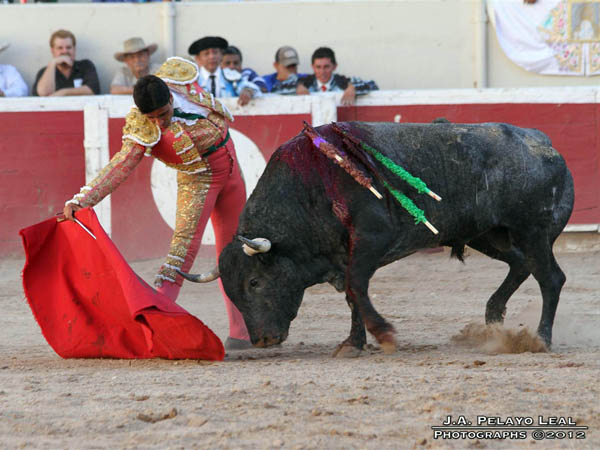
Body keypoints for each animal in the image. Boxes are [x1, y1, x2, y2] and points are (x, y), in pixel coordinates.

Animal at [182, 122, 572, 356]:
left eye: (255, 281)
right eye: (232, 291)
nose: (262, 340)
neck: (308, 190)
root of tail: (542, 142)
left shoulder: (372, 240)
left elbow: (357, 287)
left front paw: (383, 334)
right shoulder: (344, 254)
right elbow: (352, 296)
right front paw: (353, 343)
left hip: (533, 231)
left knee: (551, 278)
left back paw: (542, 338)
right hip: (490, 235)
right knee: (521, 264)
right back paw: (493, 320)